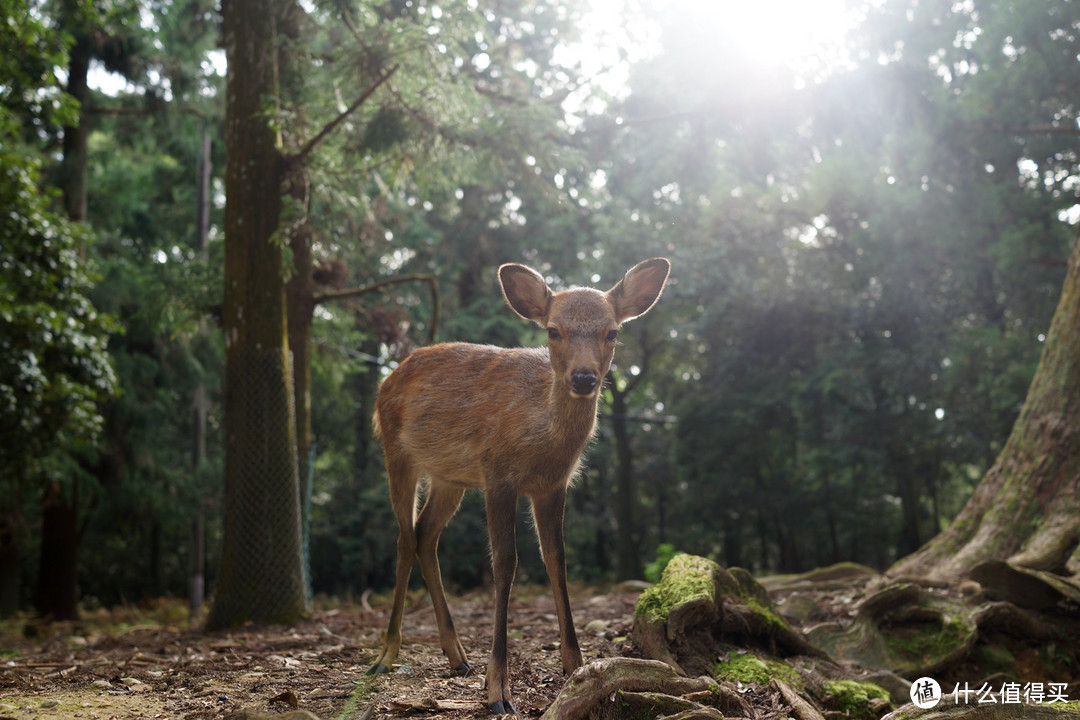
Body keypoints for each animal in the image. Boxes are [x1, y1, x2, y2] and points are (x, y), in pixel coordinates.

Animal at [373, 257, 673, 716]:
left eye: (612, 331)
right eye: (553, 330)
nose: (583, 378)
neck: (541, 440)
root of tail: (386, 380)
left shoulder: (553, 484)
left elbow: (557, 559)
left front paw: (576, 665)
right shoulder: (498, 474)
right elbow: (505, 563)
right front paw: (498, 689)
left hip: (449, 477)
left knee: (426, 536)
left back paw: (457, 655)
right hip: (397, 450)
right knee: (405, 538)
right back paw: (387, 653)